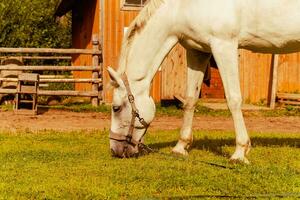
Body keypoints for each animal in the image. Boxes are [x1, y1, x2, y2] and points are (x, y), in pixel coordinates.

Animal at [107, 0, 300, 162]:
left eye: (116, 108)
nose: (115, 150)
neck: (182, 7)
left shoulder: (224, 45)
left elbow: (233, 100)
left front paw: (239, 153)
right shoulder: (197, 51)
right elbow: (190, 100)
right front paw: (180, 147)